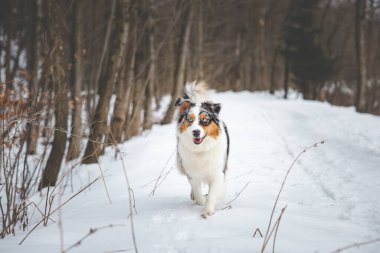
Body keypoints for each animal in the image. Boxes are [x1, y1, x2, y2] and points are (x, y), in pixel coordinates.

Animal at [174, 81, 229, 217]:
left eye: (205, 120)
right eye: (189, 120)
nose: (196, 132)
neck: (201, 150)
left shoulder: (217, 173)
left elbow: (212, 193)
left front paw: (207, 211)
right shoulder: (192, 174)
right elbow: (197, 191)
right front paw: (201, 202)